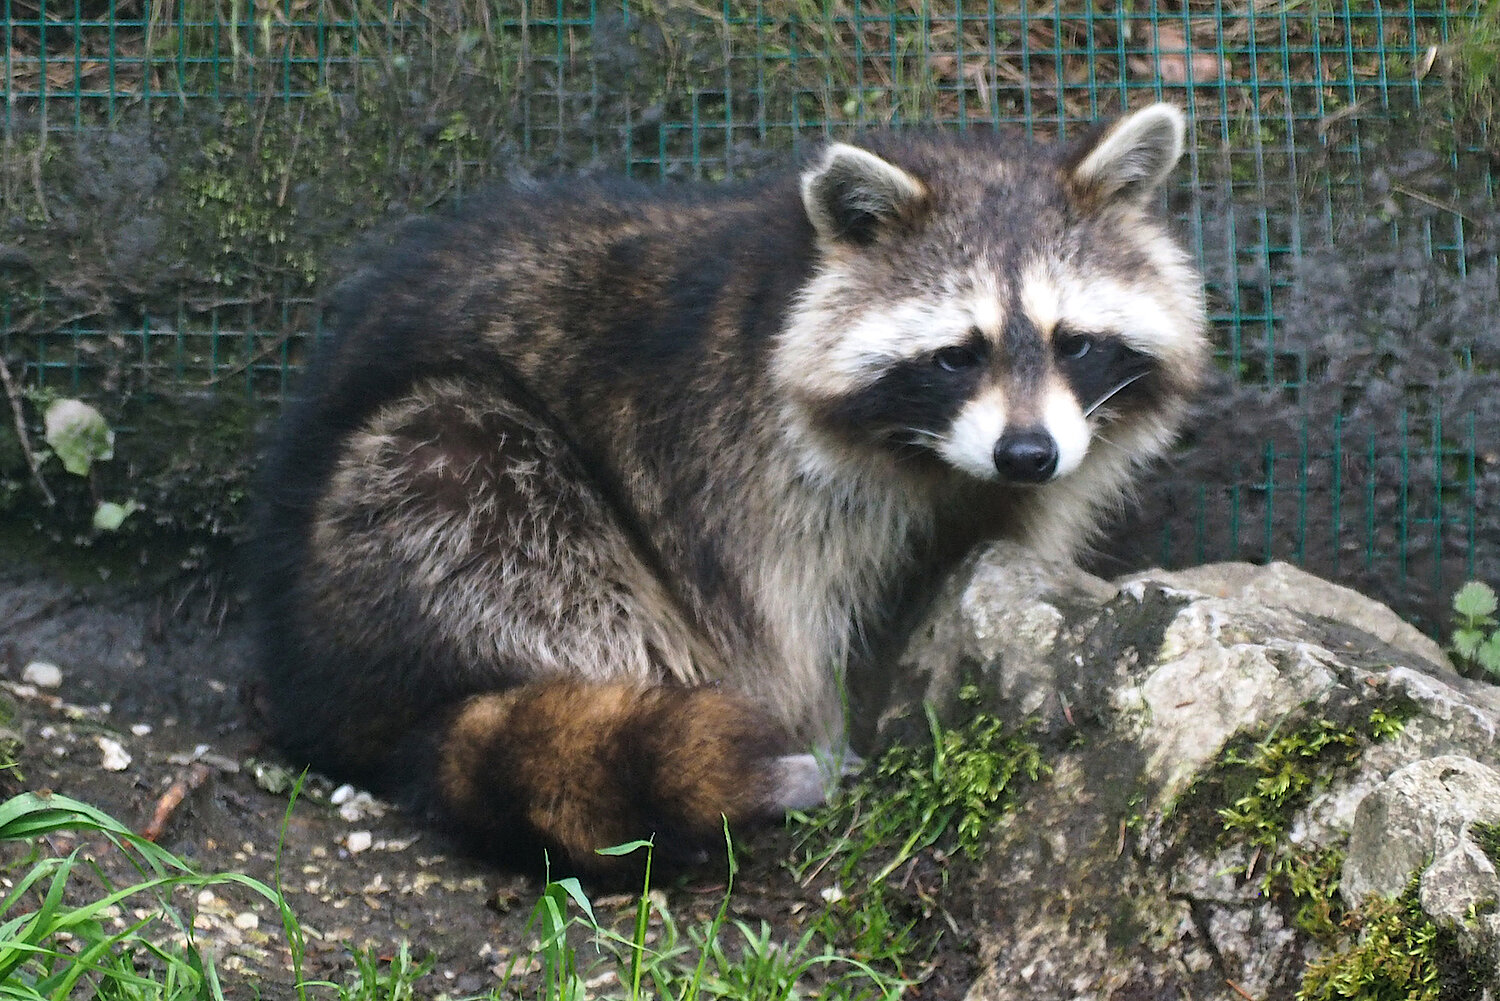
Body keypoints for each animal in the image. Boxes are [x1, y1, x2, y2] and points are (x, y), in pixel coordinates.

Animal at [249, 103, 1206, 876]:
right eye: (956, 355)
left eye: (1074, 341)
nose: (1026, 452)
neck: (936, 460)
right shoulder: (738, 464)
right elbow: (780, 625)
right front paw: (822, 727)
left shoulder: (1045, 469)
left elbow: (997, 556)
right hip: (417, 500)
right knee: (492, 502)